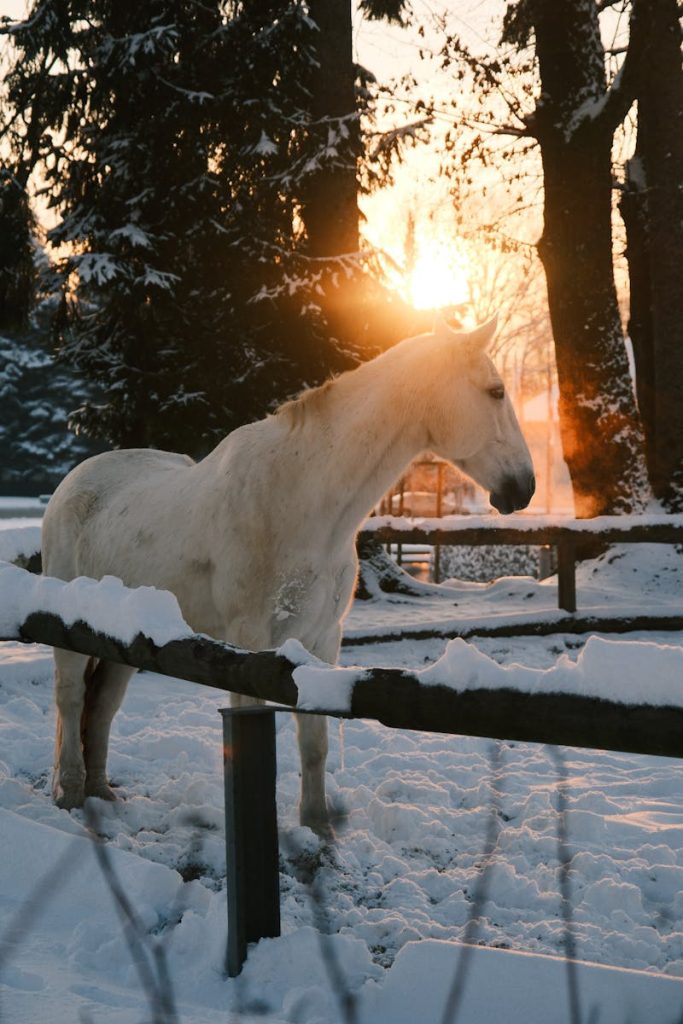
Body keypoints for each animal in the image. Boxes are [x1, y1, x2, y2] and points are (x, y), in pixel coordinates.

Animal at [42, 314, 535, 834]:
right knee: (71, 696)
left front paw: (317, 826)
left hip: (122, 643)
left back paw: (101, 792)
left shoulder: (321, 639)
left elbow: (314, 742)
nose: (525, 487)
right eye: (496, 391)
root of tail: (73, 483)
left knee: (101, 706)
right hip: (70, 632)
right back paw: (71, 793)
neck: (299, 499)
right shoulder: (249, 642)